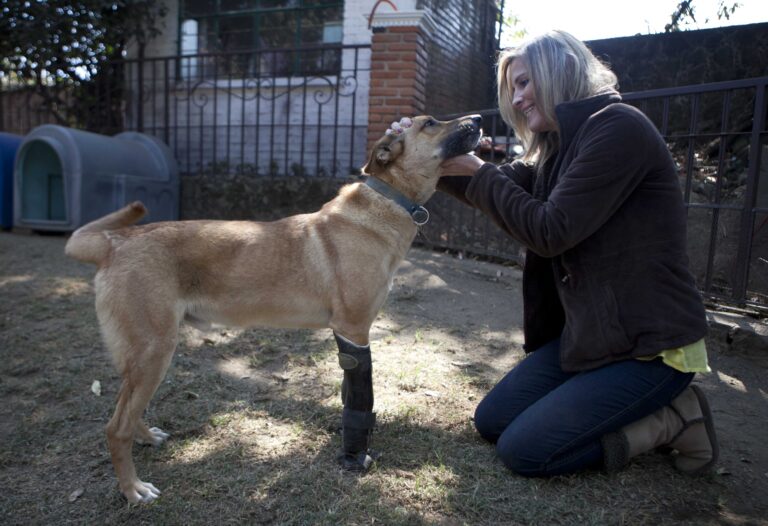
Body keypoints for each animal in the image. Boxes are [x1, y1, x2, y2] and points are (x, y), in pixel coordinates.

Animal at [69, 114, 484, 504]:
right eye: (430, 123)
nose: (480, 120)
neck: (386, 200)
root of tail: (115, 242)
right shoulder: (354, 329)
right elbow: (360, 399)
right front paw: (356, 455)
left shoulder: (349, 334)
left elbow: (350, 395)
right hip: (154, 351)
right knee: (116, 427)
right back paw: (132, 489)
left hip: (143, 357)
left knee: (126, 409)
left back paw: (144, 438)